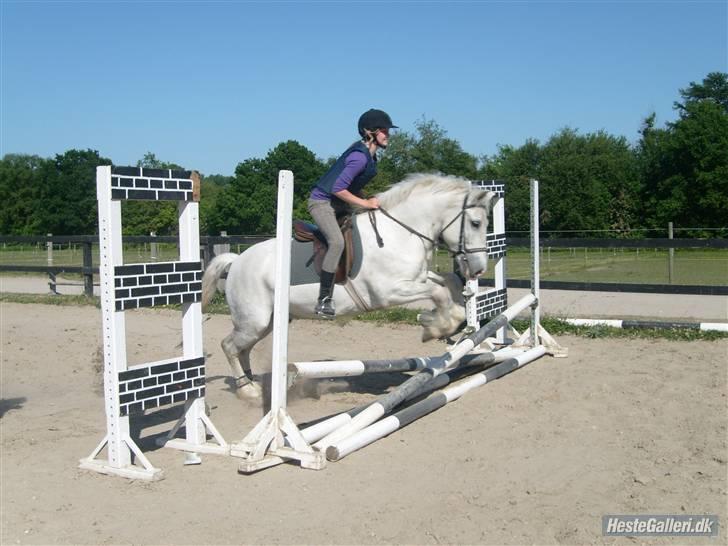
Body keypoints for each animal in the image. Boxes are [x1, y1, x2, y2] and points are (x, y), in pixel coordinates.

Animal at [202, 173, 494, 396]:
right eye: (476, 223)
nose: (479, 268)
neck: (400, 232)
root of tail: (237, 261)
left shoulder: (416, 278)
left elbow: (448, 282)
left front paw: (448, 320)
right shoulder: (389, 292)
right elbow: (438, 292)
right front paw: (435, 326)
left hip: (269, 323)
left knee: (243, 349)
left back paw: (251, 382)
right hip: (255, 320)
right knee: (229, 346)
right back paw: (247, 390)